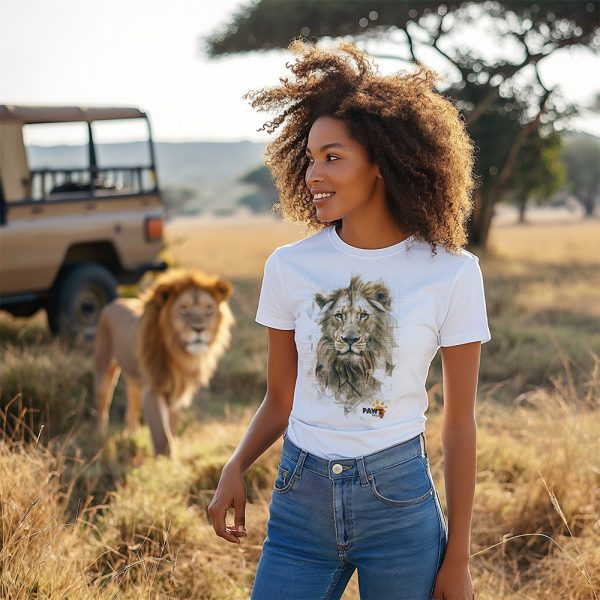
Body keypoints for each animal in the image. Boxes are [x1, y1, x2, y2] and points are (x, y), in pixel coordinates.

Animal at [93, 268, 234, 454]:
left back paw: (132, 435)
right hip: (104, 365)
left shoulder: (177, 391)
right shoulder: (153, 389)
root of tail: (112, 303)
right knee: (102, 405)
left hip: (134, 378)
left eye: (208, 308)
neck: (179, 355)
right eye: (184, 309)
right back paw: (100, 436)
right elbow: (161, 434)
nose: (199, 329)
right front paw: (165, 459)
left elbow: (171, 428)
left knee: (131, 409)